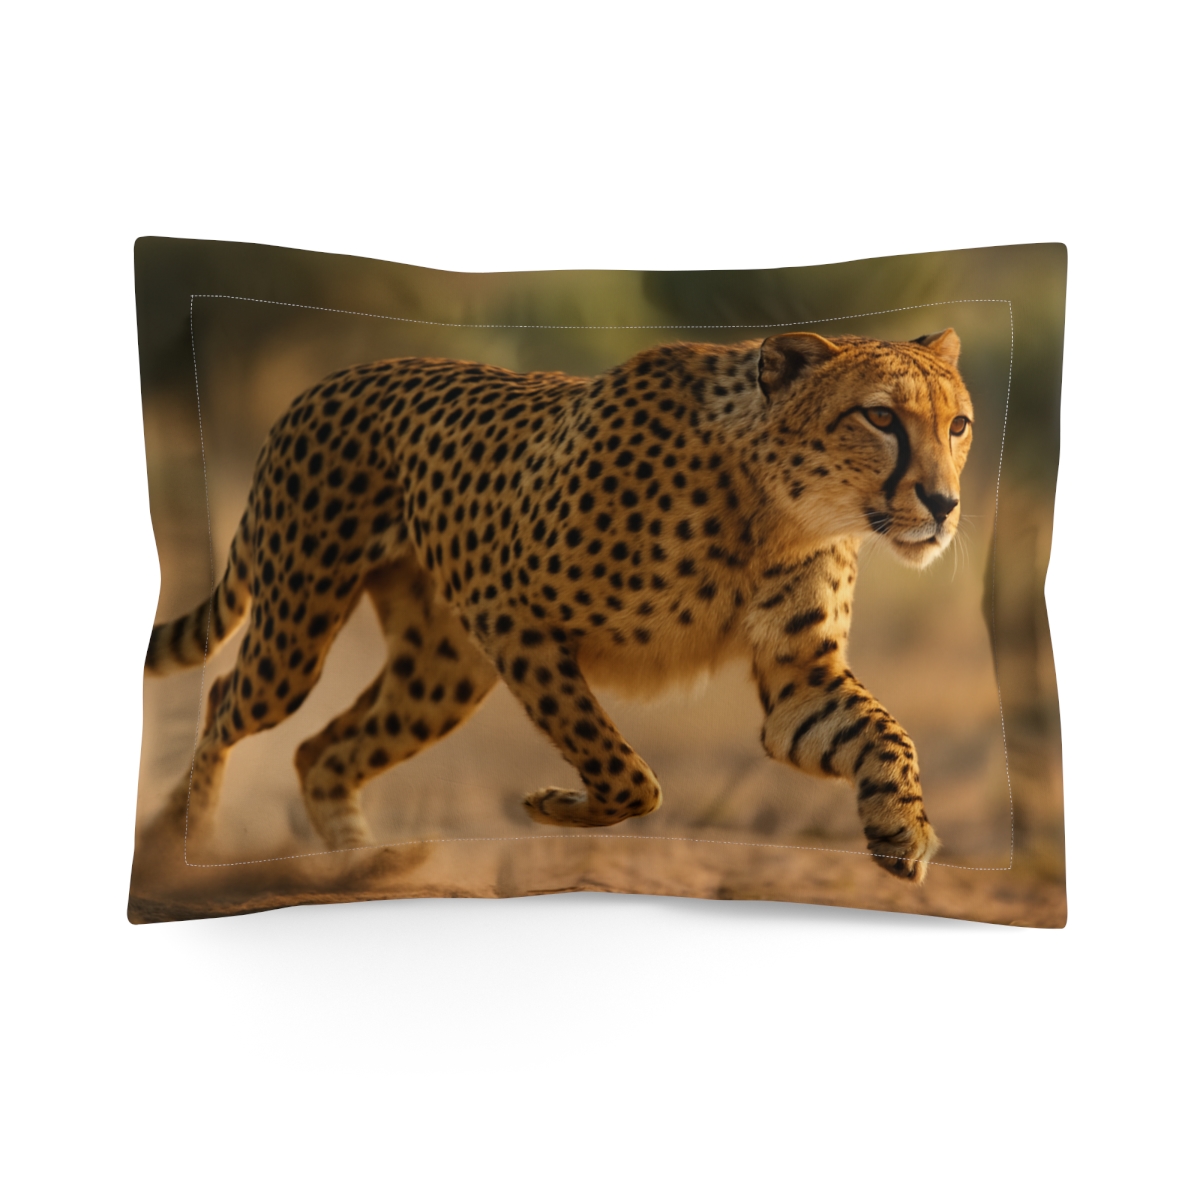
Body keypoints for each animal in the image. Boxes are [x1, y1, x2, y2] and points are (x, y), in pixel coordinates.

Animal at [145, 327, 973, 883]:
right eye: (881, 417)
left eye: (957, 424)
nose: (944, 504)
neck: (774, 503)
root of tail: (328, 380)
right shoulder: (509, 613)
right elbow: (628, 771)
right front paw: (553, 806)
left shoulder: (799, 679)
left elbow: (886, 734)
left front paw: (901, 828)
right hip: (301, 632)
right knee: (226, 700)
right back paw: (183, 846)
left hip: (442, 674)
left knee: (322, 751)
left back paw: (363, 869)